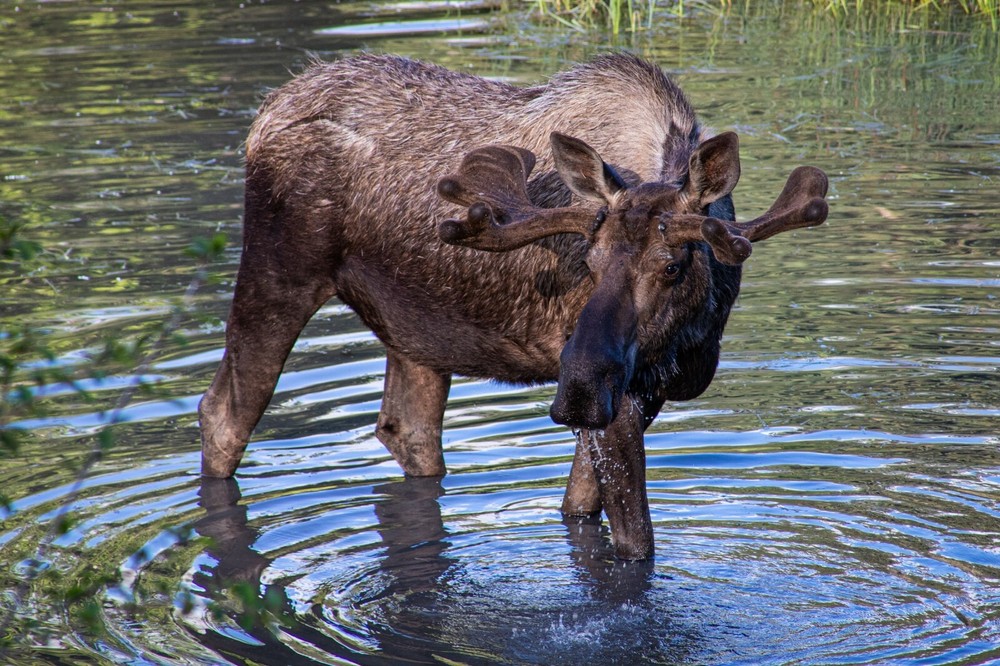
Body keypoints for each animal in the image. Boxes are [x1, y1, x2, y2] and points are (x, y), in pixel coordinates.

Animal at [198, 52, 829, 559]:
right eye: (588, 260)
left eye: (673, 265)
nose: (577, 385)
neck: (693, 333)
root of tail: (263, 116)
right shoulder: (620, 398)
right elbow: (636, 546)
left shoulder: (640, 393)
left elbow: (579, 510)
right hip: (279, 273)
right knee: (223, 413)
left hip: (413, 330)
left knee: (407, 428)